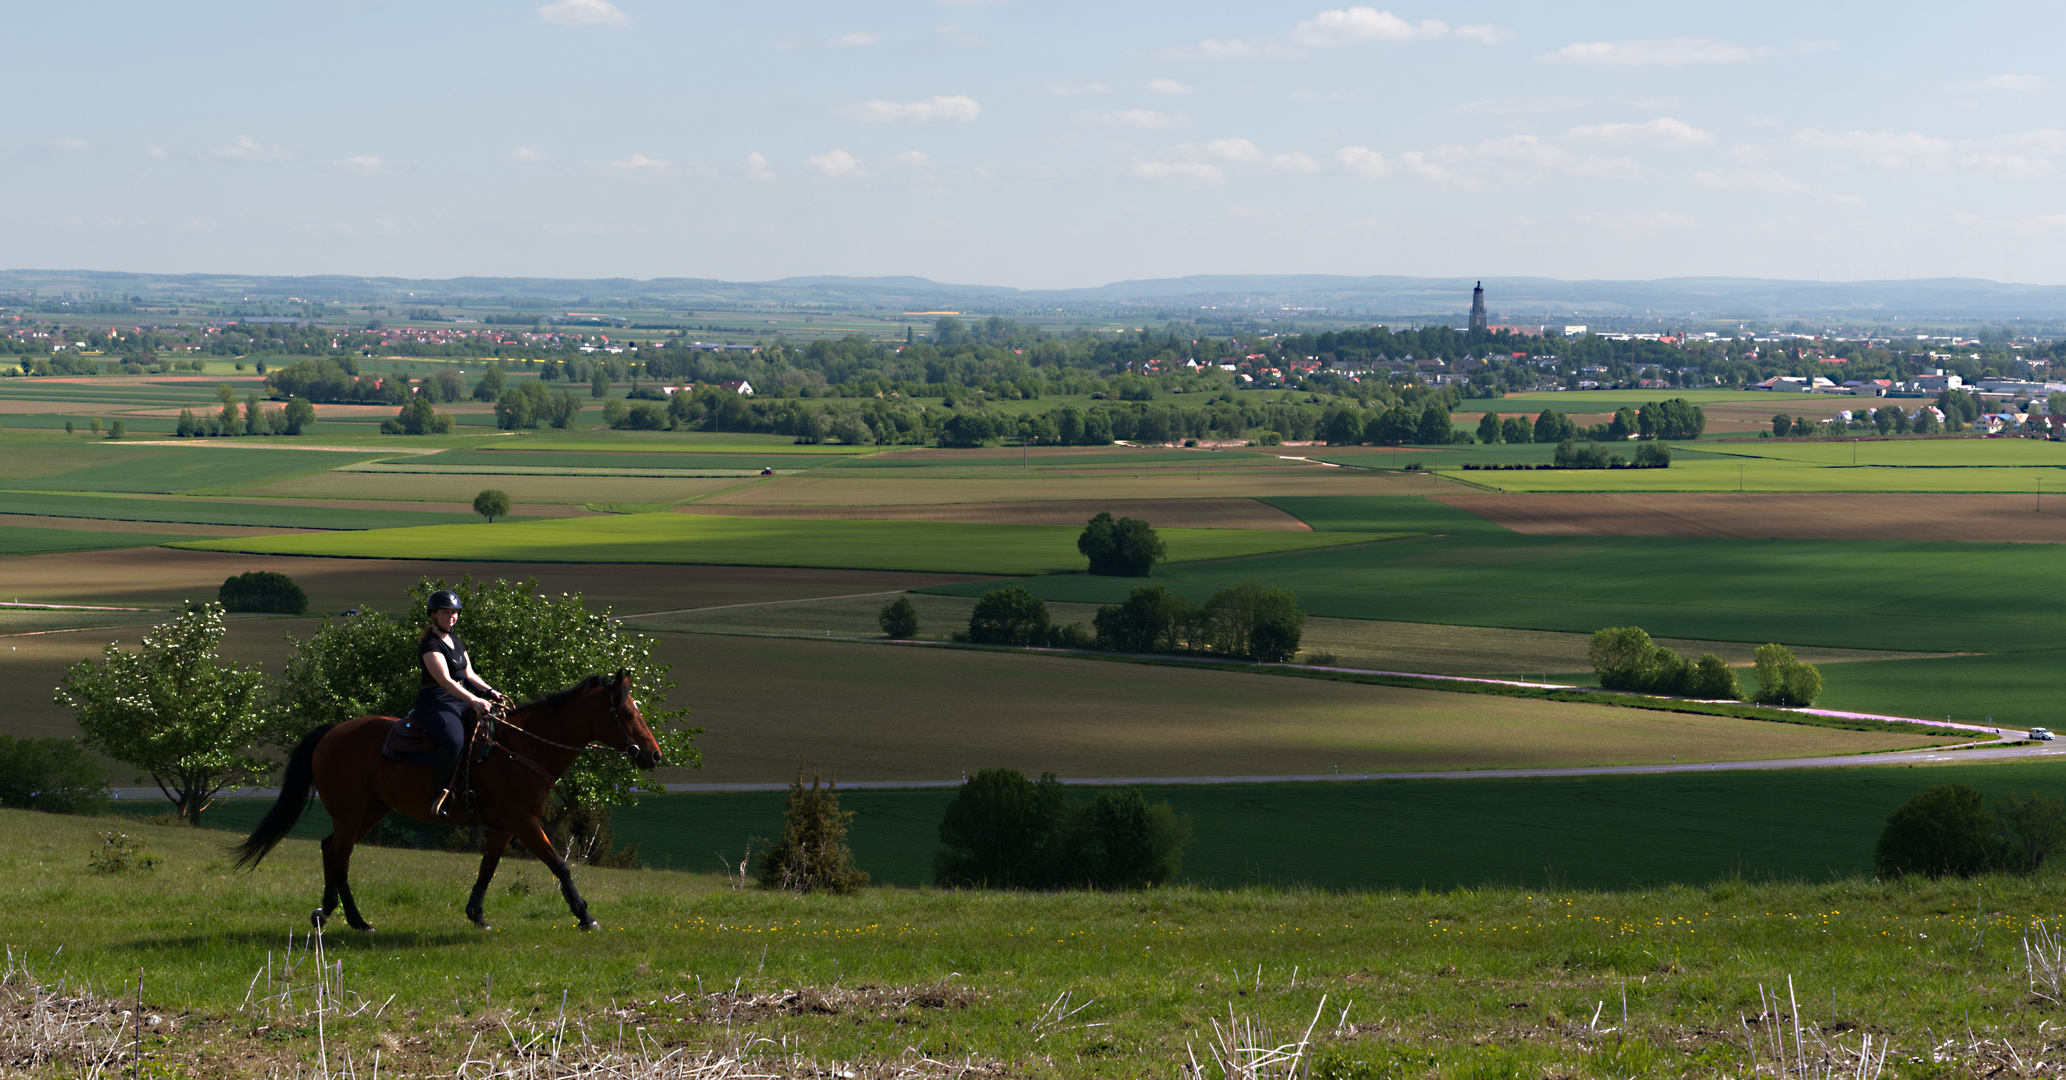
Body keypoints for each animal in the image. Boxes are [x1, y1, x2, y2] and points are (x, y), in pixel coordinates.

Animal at [232, 673, 661, 933]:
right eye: (627, 712)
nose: (653, 755)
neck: (522, 747)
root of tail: (333, 731)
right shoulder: (524, 821)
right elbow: (560, 864)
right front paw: (585, 915)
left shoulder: (504, 827)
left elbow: (487, 869)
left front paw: (477, 914)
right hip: (351, 811)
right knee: (340, 856)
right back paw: (357, 920)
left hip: (373, 809)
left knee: (329, 848)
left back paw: (327, 912)